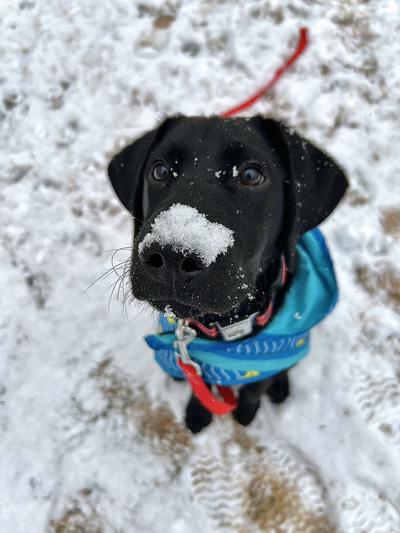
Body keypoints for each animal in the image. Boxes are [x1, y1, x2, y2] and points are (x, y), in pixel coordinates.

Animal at [108, 116, 348, 432]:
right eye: (159, 170)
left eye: (251, 174)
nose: (172, 255)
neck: (224, 330)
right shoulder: (196, 360)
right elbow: (201, 388)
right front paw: (198, 414)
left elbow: (254, 389)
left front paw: (246, 415)